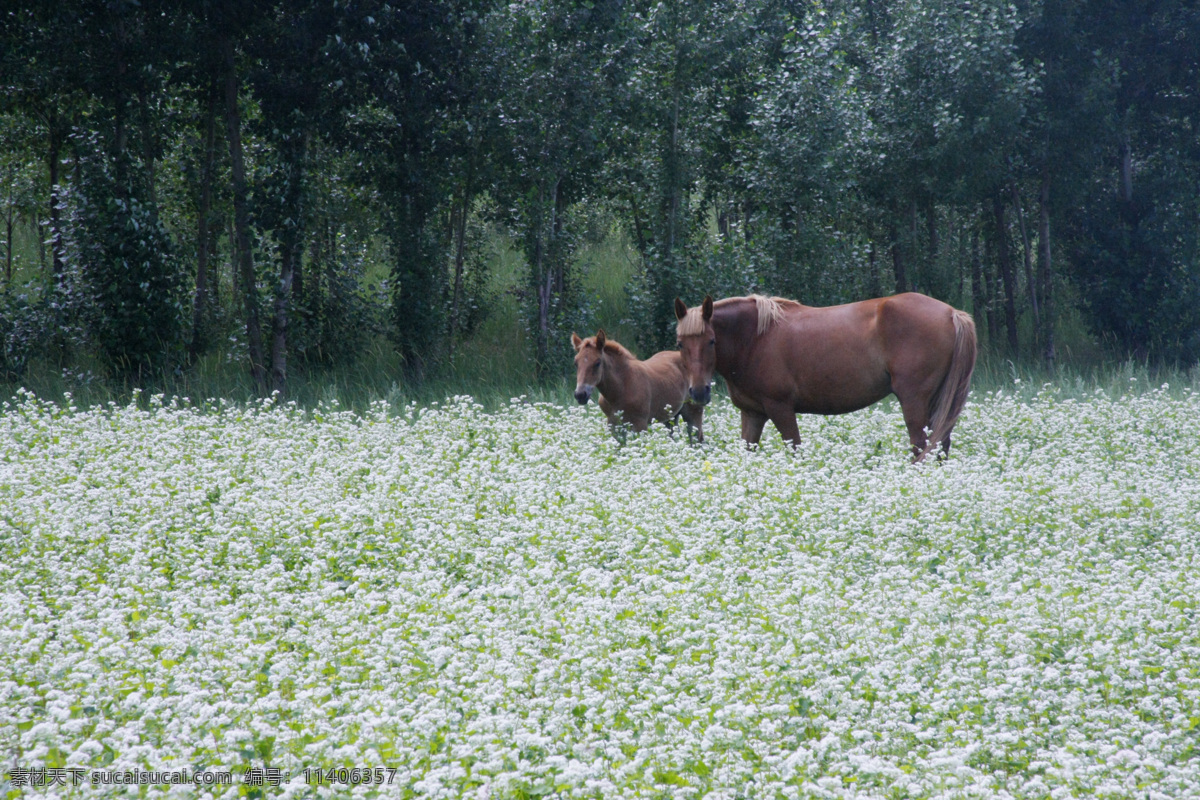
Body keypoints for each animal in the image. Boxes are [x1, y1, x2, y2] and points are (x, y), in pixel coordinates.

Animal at [571, 331, 700, 443]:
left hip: (692, 412)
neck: (621, 388)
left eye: (597, 363)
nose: (580, 395)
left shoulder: (640, 425)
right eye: (576, 363)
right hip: (670, 417)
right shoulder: (614, 425)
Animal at [676, 293, 974, 460]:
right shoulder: (752, 414)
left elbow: (795, 450)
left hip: (914, 401)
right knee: (940, 445)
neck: (754, 338)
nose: (698, 392)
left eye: (711, 341)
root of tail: (952, 313)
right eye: (680, 343)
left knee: (921, 446)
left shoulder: (780, 408)